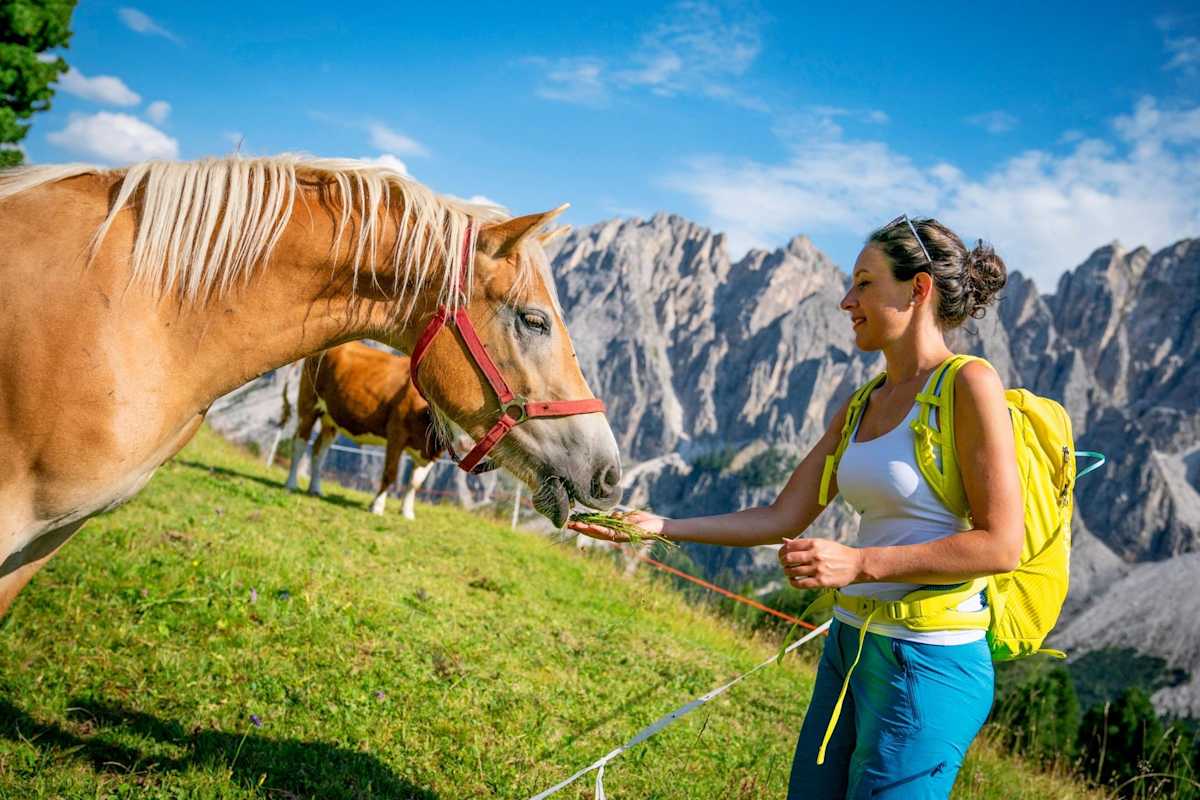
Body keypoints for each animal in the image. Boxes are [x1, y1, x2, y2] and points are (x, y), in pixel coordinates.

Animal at [282, 342, 440, 519]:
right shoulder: (396, 434)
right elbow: (390, 473)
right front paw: (377, 507)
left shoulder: (431, 453)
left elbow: (415, 482)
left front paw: (407, 512)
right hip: (308, 405)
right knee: (299, 444)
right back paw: (291, 484)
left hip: (330, 420)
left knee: (319, 451)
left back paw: (315, 489)